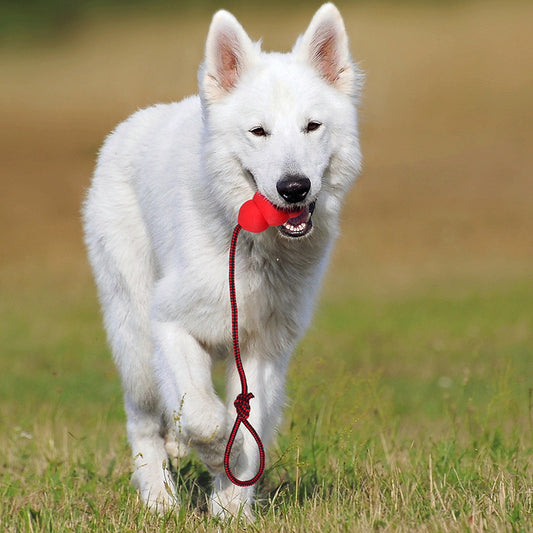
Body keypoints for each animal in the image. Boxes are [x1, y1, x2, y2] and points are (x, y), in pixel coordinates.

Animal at [82, 3, 362, 520]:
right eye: (259, 132)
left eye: (312, 126)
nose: (294, 188)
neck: (251, 245)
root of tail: (129, 126)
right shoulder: (170, 324)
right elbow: (205, 418)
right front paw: (213, 455)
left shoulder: (263, 349)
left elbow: (248, 431)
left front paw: (232, 510)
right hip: (135, 337)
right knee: (144, 421)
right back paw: (159, 500)